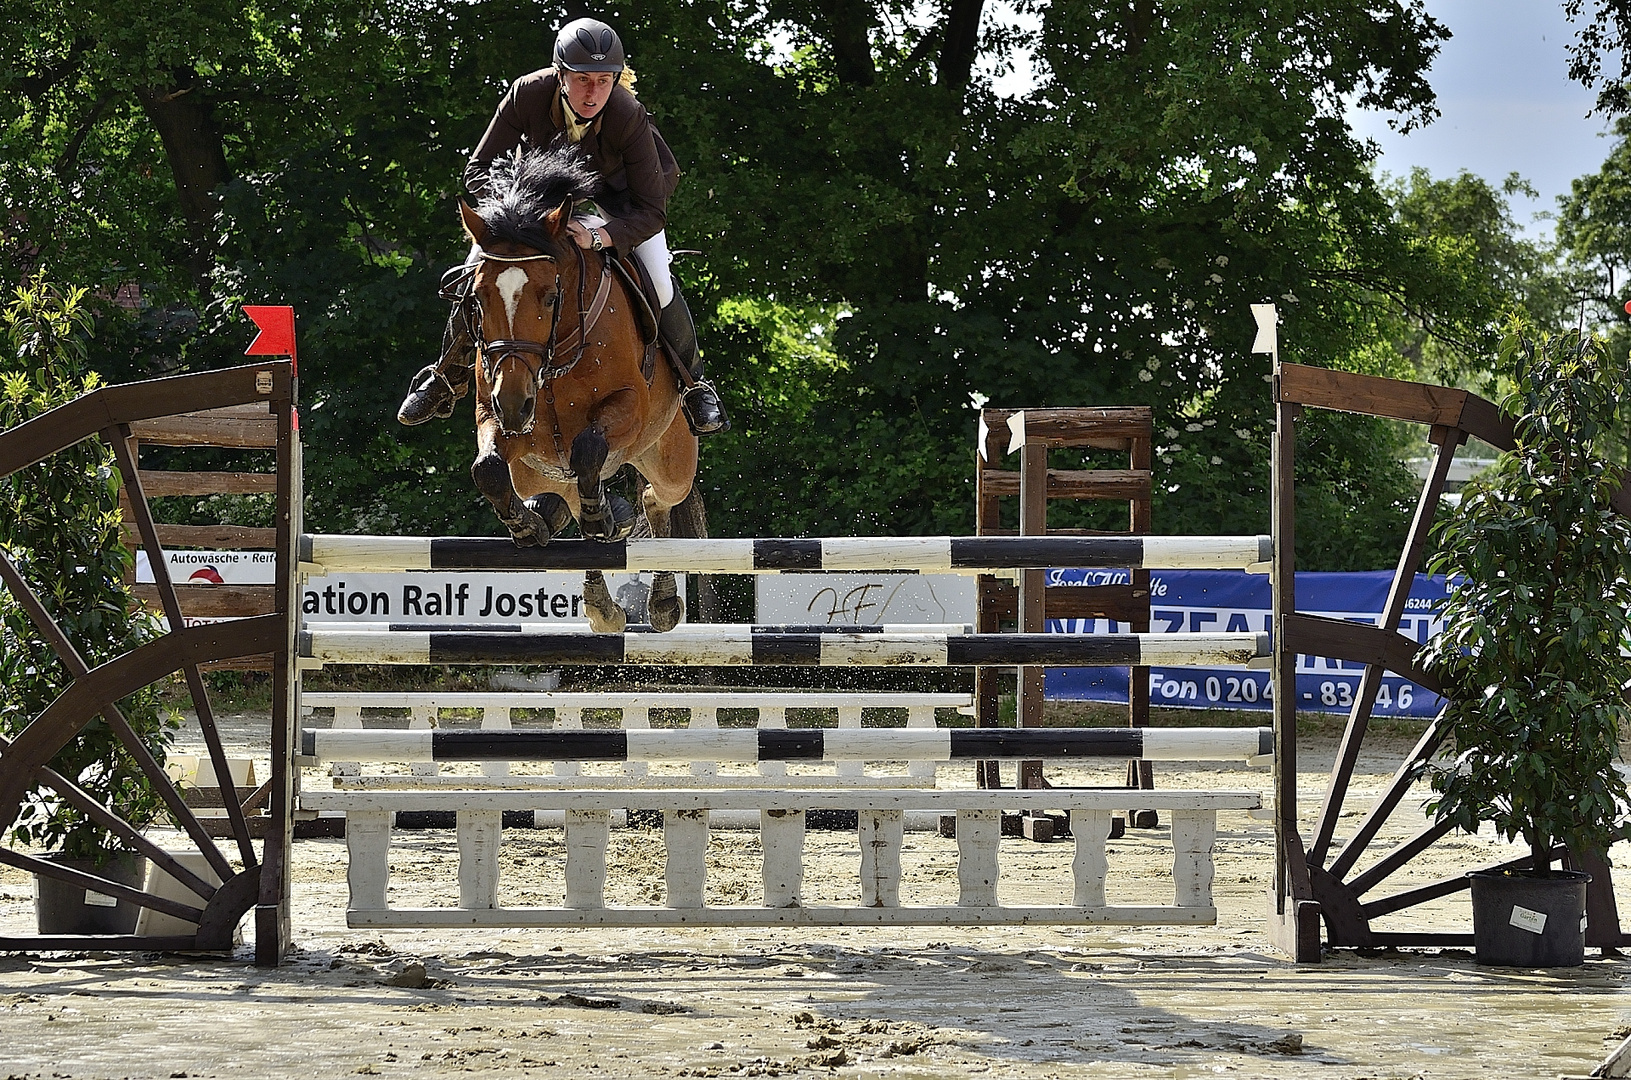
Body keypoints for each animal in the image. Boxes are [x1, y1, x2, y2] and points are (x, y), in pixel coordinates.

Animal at [463, 148, 711, 629]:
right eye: (478, 299)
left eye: (549, 295)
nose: (515, 404)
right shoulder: (497, 418)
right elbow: (488, 468)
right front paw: (526, 527)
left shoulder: (628, 408)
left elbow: (589, 449)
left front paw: (604, 519)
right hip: (535, 471)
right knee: (563, 497)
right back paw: (598, 601)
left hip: (671, 460)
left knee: (654, 497)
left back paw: (660, 601)